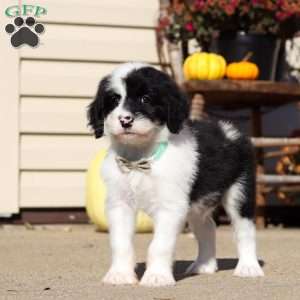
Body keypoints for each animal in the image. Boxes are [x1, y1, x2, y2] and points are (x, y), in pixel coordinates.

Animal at [87, 62, 264, 288]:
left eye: (146, 98)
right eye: (114, 100)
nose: (125, 120)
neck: (141, 159)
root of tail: (229, 130)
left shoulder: (170, 207)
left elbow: (159, 245)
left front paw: (156, 277)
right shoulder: (119, 204)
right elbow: (120, 243)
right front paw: (120, 275)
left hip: (239, 193)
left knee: (245, 229)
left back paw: (248, 267)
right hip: (196, 205)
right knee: (207, 227)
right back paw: (204, 265)